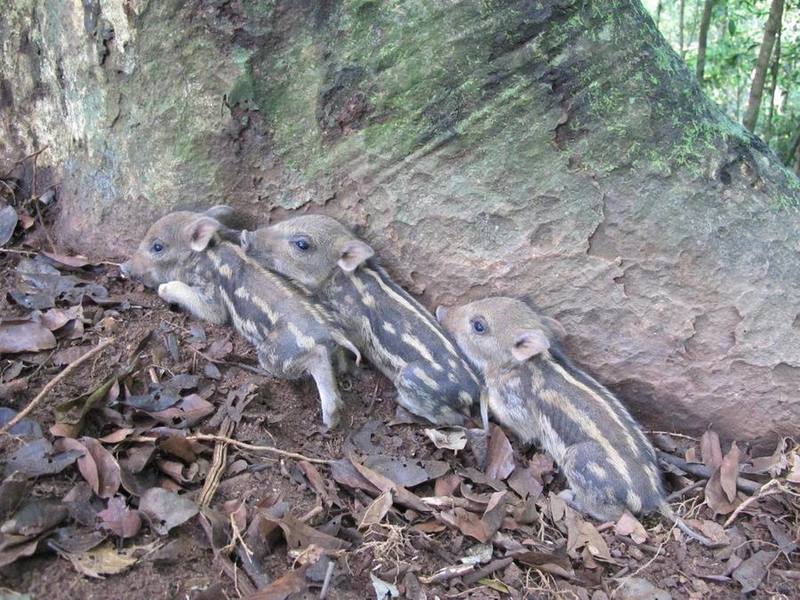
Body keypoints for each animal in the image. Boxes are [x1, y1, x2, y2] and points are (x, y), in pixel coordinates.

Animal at [120, 207, 361, 429]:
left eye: (157, 247)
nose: (123, 267)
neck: (207, 255)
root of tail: (331, 332)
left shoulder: (211, 296)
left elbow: (206, 308)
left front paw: (164, 288)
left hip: (274, 355)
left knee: (316, 358)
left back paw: (329, 419)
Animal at [239, 215, 484, 427]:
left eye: (302, 244)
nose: (246, 236)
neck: (340, 280)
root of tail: (473, 392)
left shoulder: (350, 326)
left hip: (412, 378)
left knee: (451, 418)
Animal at [436, 297, 713, 545]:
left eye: (479, 325)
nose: (441, 310)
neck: (525, 365)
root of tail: (653, 497)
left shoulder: (519, 411)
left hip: (579, 460)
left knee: (613, 513)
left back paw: (569, 497)